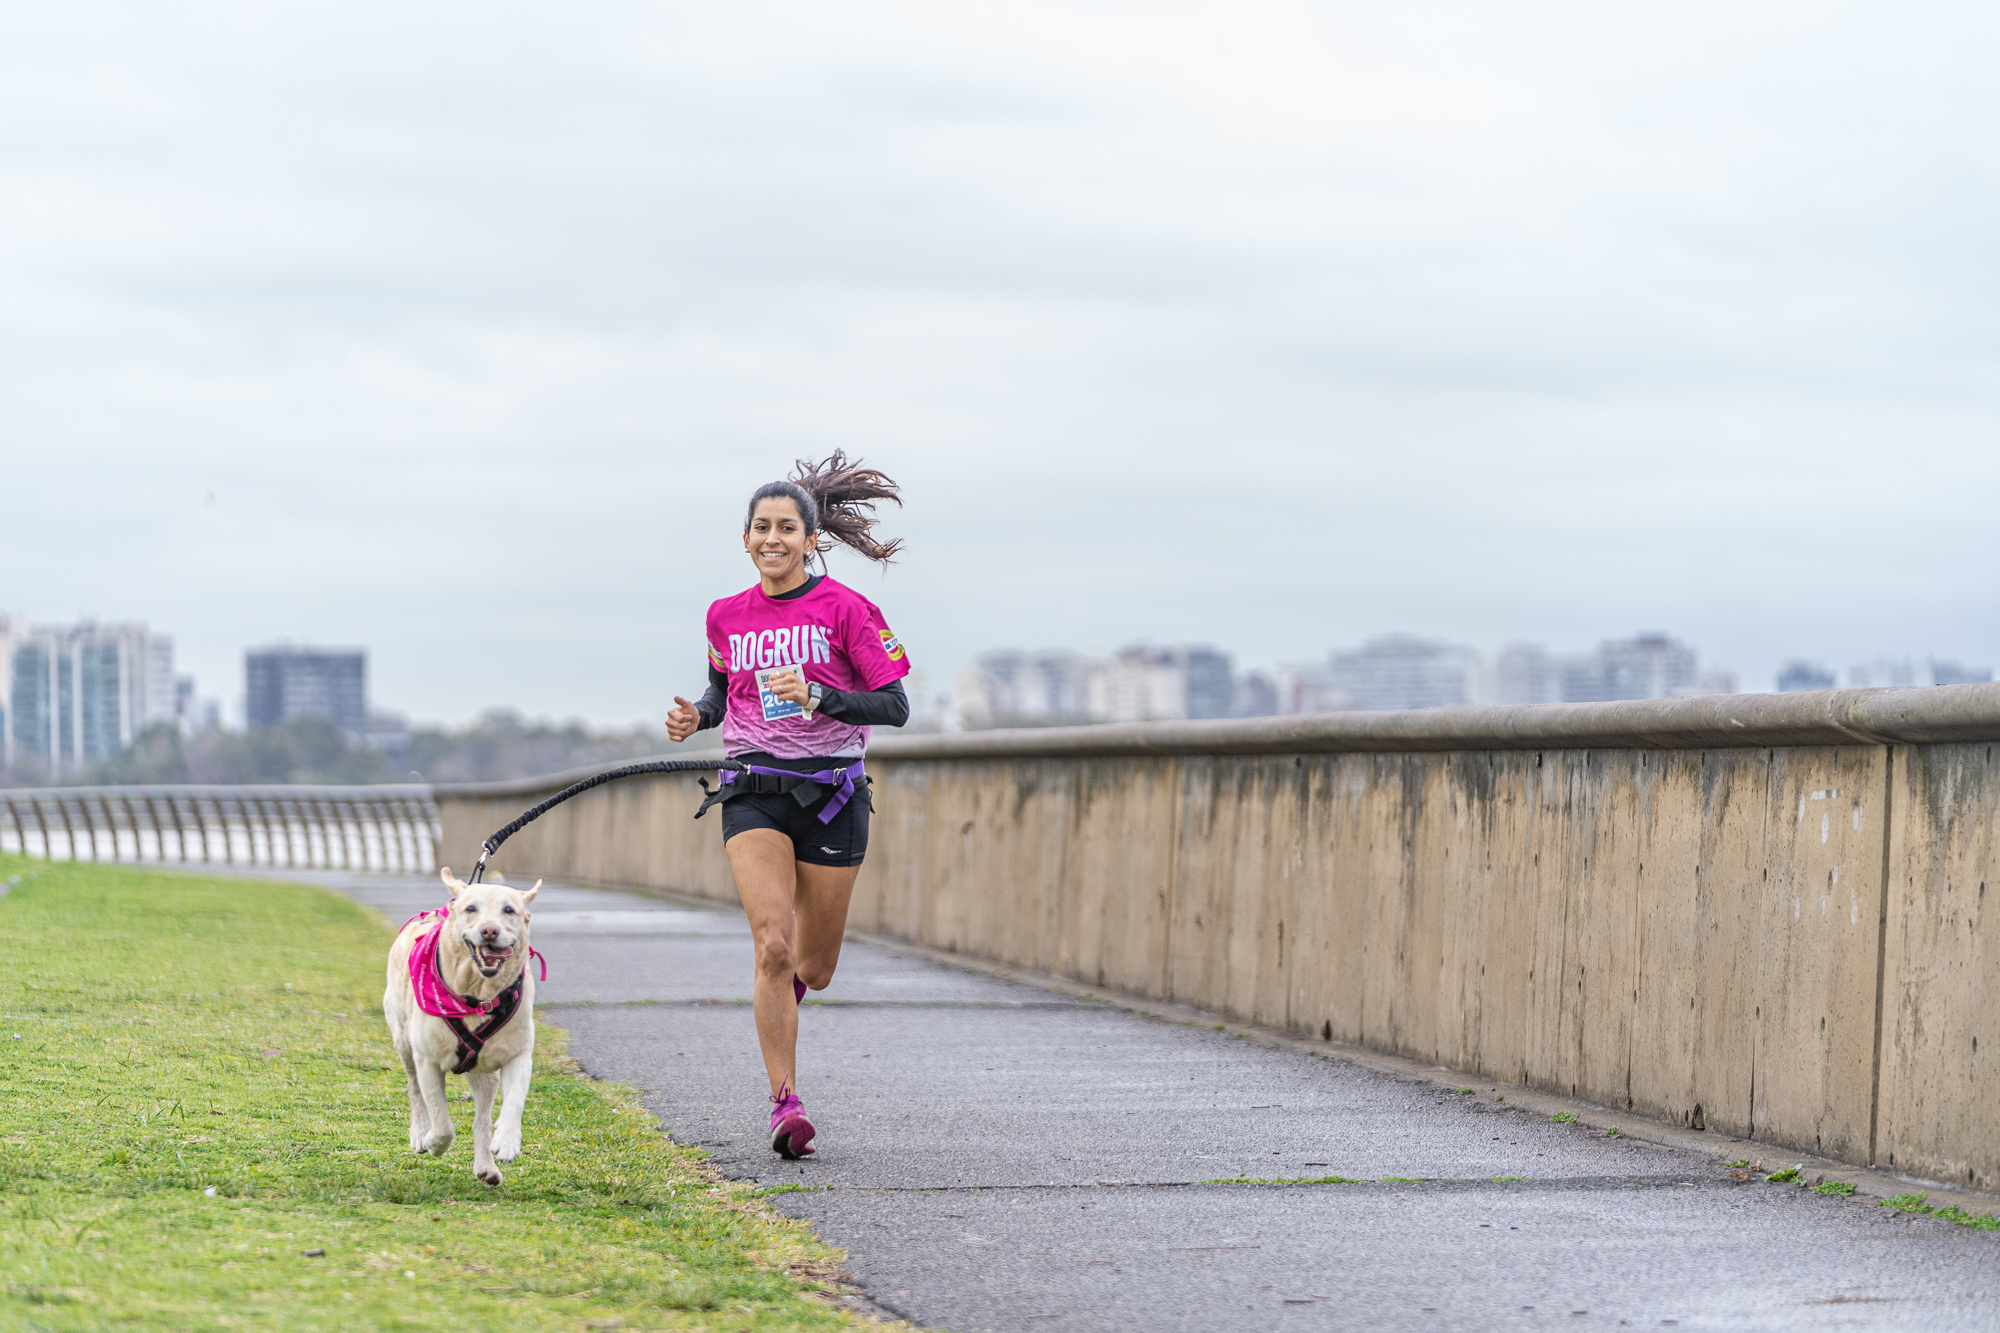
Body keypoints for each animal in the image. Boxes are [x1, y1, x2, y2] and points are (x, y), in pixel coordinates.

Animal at [380, 860, 540, 1184]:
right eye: (471, 909)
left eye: (509, 910)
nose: (489, 930)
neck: (477, 996)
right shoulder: (427, 1061)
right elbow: (442, 1122)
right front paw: (432, 1141)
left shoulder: (518, 1055)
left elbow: (515, 1100)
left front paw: (507, 1140)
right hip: (403, 1040)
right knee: (413, 1088)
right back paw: (419, 1133)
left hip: (485, 1073)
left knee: (482, 1119)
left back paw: (486, 1167)